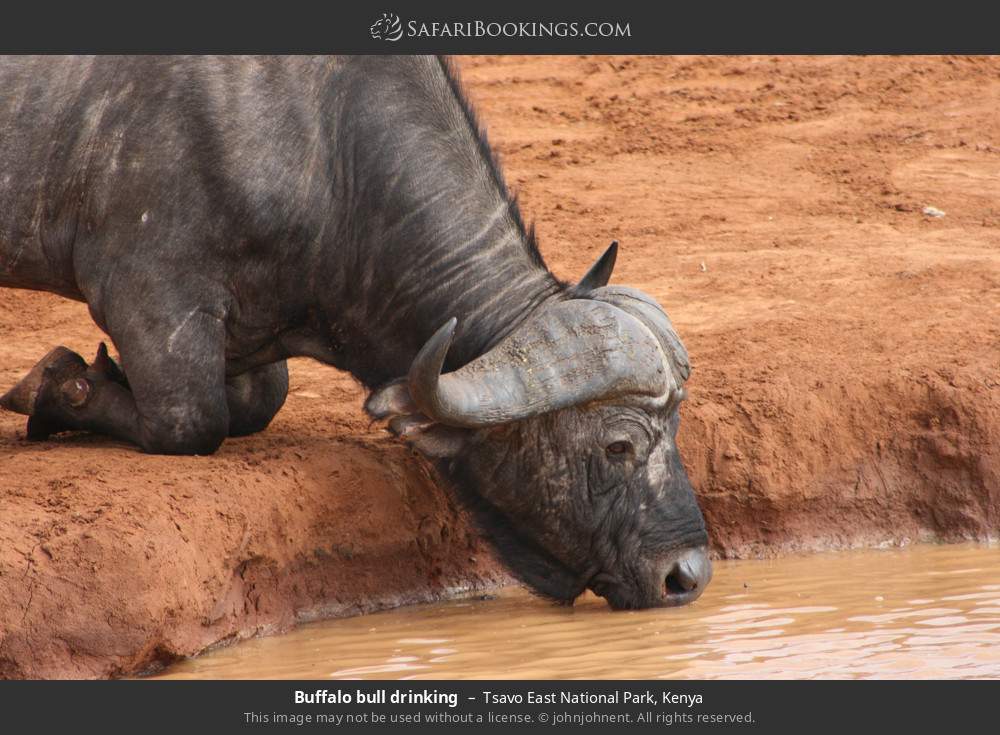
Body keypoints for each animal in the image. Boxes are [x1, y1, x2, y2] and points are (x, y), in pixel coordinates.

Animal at [0, 56, 712, 608]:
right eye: (617, 446)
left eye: (676, 431)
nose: (687, 577)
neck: (324, 148)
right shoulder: (149, 290)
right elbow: (191, 421)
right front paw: (56, 386)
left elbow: (259, 399)